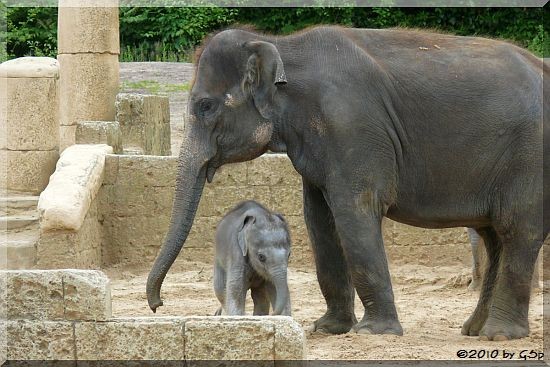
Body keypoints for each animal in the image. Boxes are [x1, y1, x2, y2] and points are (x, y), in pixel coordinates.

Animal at [147, 25, 548, 342]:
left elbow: (354, 212)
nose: (157, 305)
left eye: (205, 107)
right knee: (493, 236)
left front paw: (374, 332)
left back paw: (499, 335)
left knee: (517, 229)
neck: (280, 45)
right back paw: (474, 330)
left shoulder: (351, 129)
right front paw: (327, 328)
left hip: (530, 158)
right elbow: (319, 219)